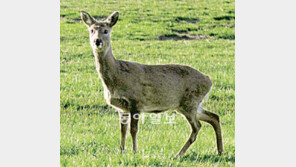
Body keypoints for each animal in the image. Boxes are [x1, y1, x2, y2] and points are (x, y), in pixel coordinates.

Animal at [80, 10, 223, 158]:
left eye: (106, 31)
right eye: (91, 30)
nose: (97, 41)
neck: (117, 77)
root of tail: (209, 81)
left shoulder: (136, 102)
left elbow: (133, 130)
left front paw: (134, 152)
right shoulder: (122, 108)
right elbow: (122, 130)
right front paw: (121, 151)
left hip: (190, 102)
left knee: (197, 126)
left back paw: (178, 154)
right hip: (188, 104)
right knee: (214, 117)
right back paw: (219, 151)